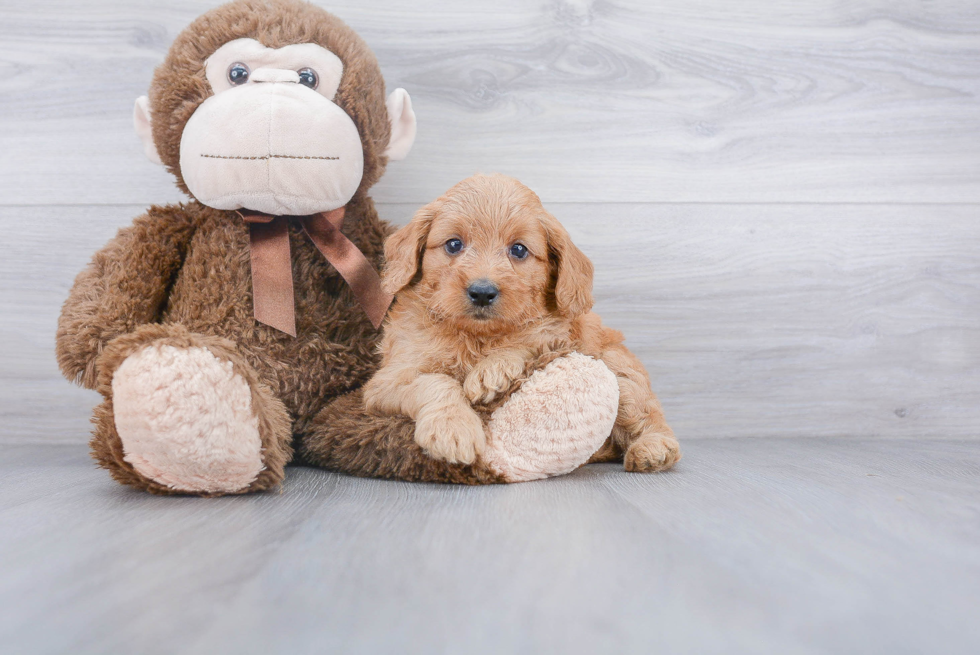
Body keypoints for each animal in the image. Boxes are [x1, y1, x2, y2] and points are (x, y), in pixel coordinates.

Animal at [362, 173, 680, 472]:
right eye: (453, 244)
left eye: (518, 250)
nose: (482, 292)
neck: (477, 338)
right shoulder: (386, 382)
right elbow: (434, 381)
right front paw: (453, 429)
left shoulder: (559, 337)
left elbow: (529, 342)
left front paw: (492, 370)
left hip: (619, 369)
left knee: (648, 414)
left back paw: (653, 449)